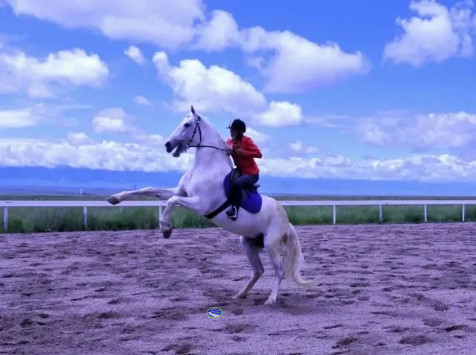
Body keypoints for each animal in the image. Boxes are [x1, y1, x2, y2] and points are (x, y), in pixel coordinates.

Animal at [105, 105, 310, 306]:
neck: (205, 167)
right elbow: (150, 190)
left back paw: (271, 299)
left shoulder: (200, 204)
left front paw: (166, 229)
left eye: (187, 124)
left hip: (270, 244)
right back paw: (239, 295)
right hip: (248, 242)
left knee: (279, 271)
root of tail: (287, 221)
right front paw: (115, 198)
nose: (167, 145)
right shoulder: (180, 192)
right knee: (258, 270)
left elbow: (172, 201)